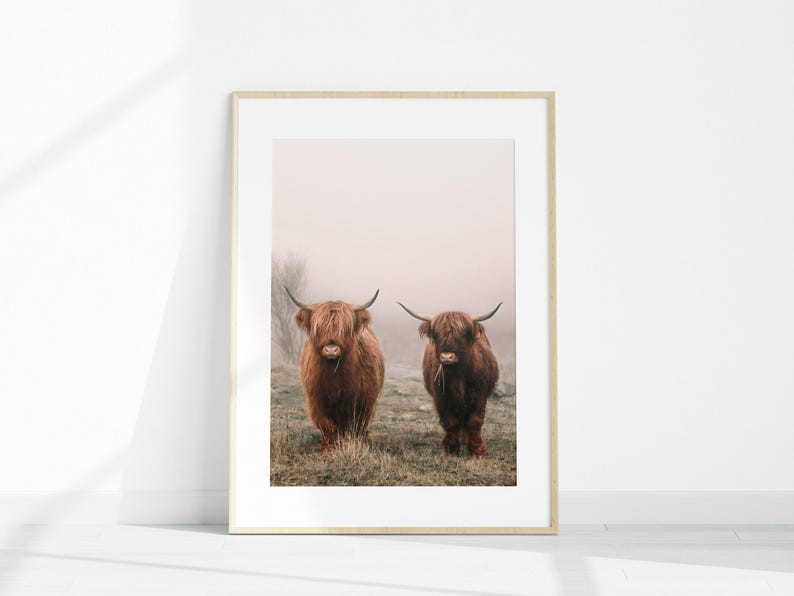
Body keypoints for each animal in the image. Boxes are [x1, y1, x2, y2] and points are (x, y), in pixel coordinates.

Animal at [286, 287, 385, 453]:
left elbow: (357, 425)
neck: (335, 374)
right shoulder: (317, 400)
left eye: (344, 328)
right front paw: (327, 450)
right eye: (318, 327)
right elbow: (328, 426)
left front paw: (358, 445)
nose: (331, 350)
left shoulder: (363, 400)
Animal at [397, 301, 502, 457]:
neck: (458, 376)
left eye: (463, 334)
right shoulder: (441, 398)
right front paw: (451, 451)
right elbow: (451, 422)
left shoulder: (479, 396)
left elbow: (474, 421)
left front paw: (476, 451)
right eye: (436, 334)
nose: (447, 357)